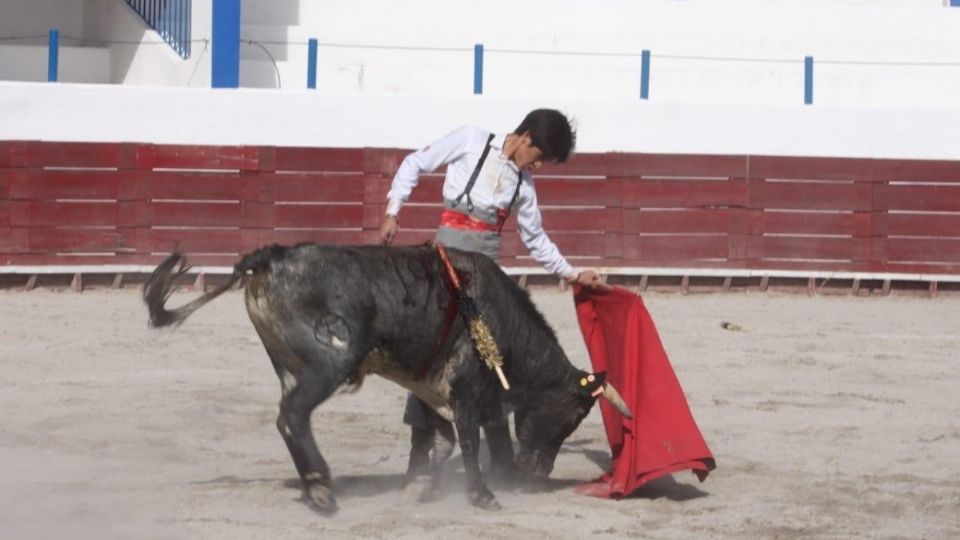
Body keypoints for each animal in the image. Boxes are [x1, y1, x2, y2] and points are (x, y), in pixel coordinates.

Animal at [142, 245, 632, 516]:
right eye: (573, 415)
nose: (538, 471)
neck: (496, 318)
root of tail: (271, 256)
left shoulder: (432, 391)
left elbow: (442, 442)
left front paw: (423, 488)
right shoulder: (467, 389)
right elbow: (468, 440)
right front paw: (482, 495)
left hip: (288, 365)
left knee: (288, 417)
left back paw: (317, 486)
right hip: (329, 364)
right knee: (293, 416)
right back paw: (321, 488)